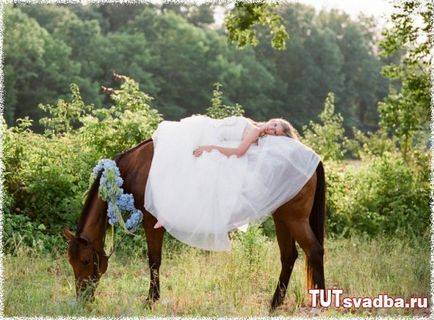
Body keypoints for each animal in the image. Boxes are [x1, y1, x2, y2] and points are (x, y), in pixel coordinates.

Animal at [62, 138, 326, 310]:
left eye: (86, 260)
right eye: (71, 262)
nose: (82, 299)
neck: (135, 167)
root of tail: (311, 158)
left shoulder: (151, 220)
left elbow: (154, 260)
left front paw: (151, 299)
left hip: (294, 219)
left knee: (314, 250)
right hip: (281, 217)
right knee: (289, 256)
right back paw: (275, 303)